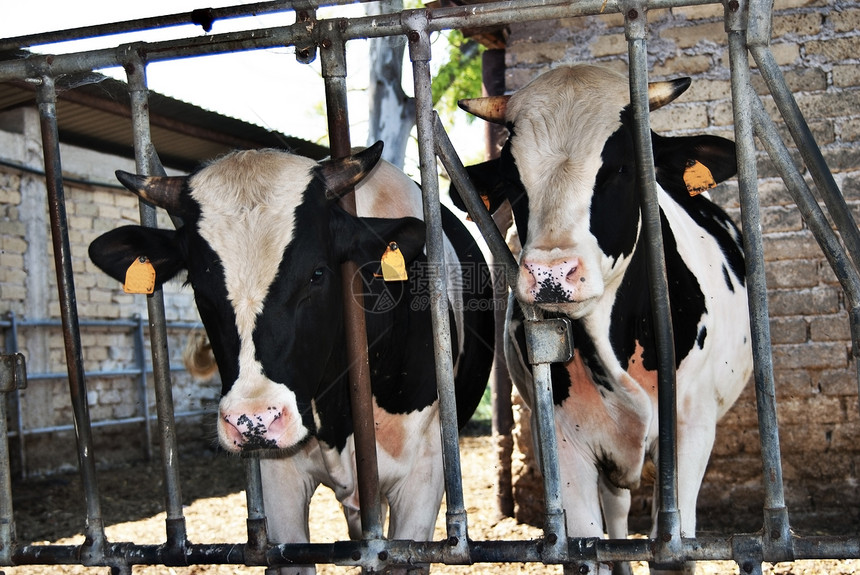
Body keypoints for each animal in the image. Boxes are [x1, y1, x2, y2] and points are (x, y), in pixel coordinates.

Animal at [456, 65, 752, 572]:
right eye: (513, 179)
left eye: (623, 168)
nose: (551, 273)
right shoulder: (563, 440)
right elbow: (585, 547)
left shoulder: (691, 428)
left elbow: (673, 548)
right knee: (616, 508)